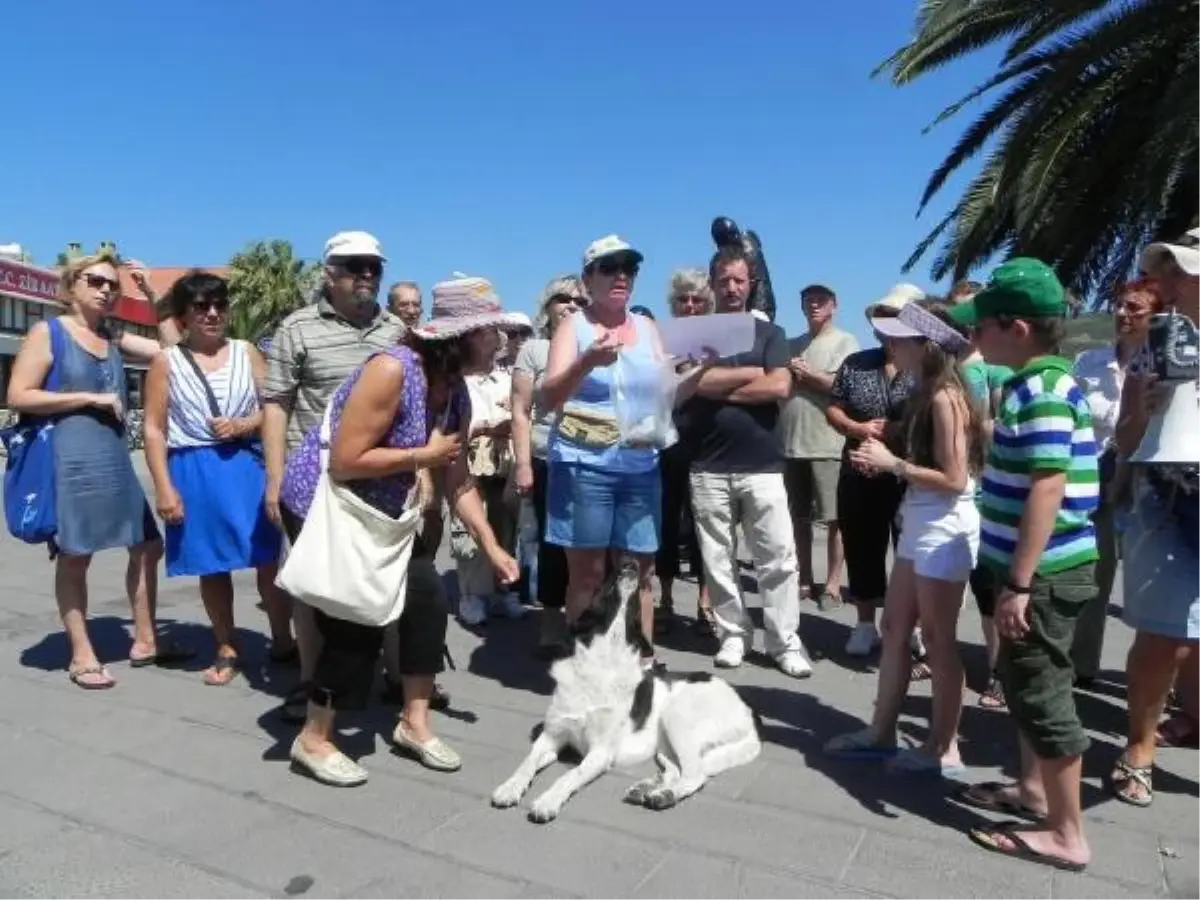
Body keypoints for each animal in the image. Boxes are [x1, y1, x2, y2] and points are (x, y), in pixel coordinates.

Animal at [489, 561, 758, 830]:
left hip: (676, 716)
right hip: (664, 741)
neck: (602, 664)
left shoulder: (599, 753)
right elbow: (527, 763)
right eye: (603, 583)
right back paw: (646, 788)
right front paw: (509, 787)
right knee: (676, 770)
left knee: (695, 774)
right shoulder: (550, 737)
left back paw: (665, 795)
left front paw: (548, 801)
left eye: (638, 598)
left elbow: (569, 775)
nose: (631, 562)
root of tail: (748, 713)